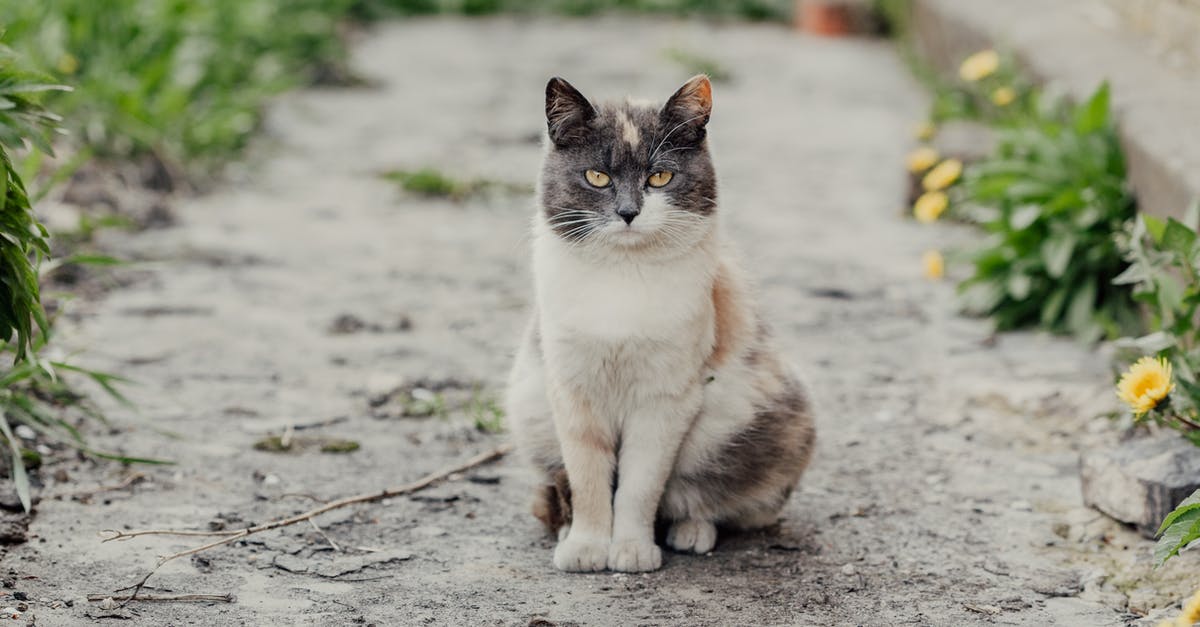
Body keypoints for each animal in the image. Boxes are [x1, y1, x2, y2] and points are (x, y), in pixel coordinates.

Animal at [501, 74, 820, 571]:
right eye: (597, 176)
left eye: (660, 177)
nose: (629, 212)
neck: (623, 278)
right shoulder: (572, 392)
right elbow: (587, 480)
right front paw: (587, 547)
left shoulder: (665, 401)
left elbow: (639, 486)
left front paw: (631, 549)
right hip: (529, 405)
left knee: (706, 500)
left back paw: (691, 530)